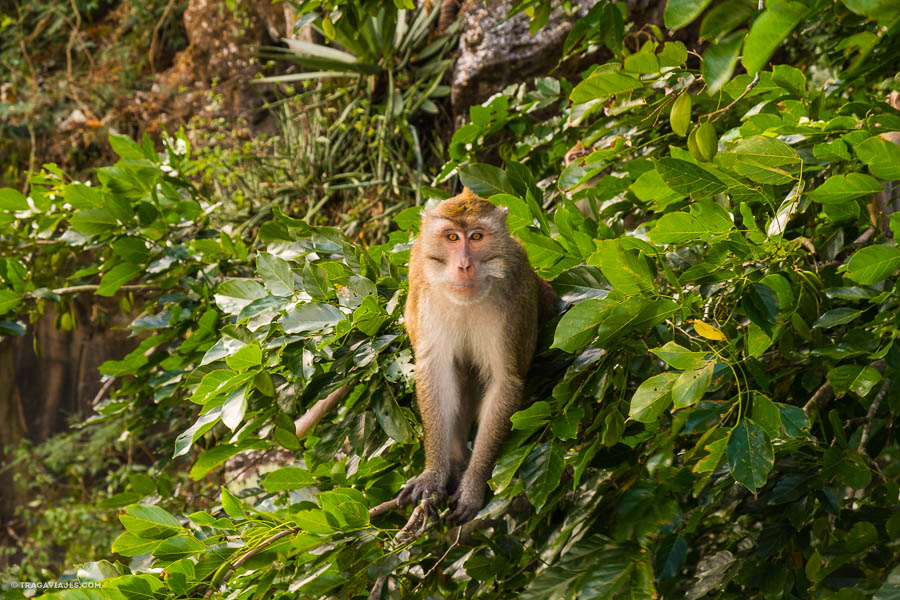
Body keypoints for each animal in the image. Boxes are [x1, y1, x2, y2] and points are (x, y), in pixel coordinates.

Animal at [400, 185, 556, 524]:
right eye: (452, 238)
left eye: (476, 237)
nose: (464, 266)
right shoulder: (426, 291)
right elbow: (435, 372)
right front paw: (433, 475)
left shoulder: (514, 294)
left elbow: (504, 381)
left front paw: (473, 486)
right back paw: (456, 462)